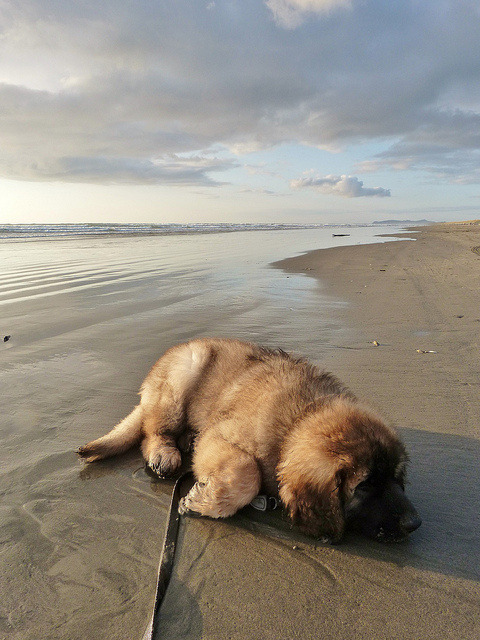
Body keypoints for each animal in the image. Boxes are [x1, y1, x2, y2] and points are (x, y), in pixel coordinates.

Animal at [79, 338, 420, 544]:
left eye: (397, 478)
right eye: (364, 486)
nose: (414, 524)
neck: (298, 420)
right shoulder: (218, 436)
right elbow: (247, 471)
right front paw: (202, 501)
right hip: (183, 375)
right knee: (153, 432)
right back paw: (165, 453)